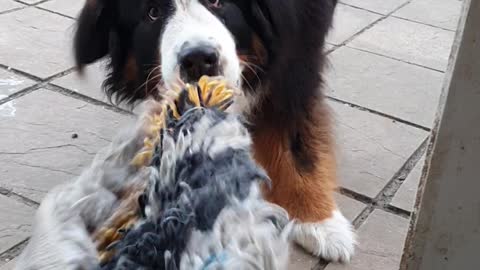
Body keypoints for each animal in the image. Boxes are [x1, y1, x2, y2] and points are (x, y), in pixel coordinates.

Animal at [73, 0, 354, 262]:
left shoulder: (296, 57)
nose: (198, 59)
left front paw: (318, 221)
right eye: (152, 13)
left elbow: (295, 143)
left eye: (218, 2)